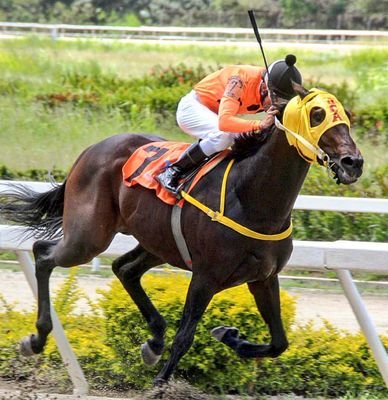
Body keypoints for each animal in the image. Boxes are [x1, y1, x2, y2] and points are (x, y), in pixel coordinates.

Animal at [0, 83, 364, 384]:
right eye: (317, 115)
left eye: (344, 114)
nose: (353, 162)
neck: (252, 197)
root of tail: (91, 150)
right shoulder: (206, 275)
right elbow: (186, 335)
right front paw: (161, 382)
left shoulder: (264, 277)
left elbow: (279, 342)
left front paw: (229, 335)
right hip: (88, 236)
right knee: (43, 253)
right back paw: (36, 338)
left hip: (156, 241)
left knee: (124, 269)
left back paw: (153, 341)